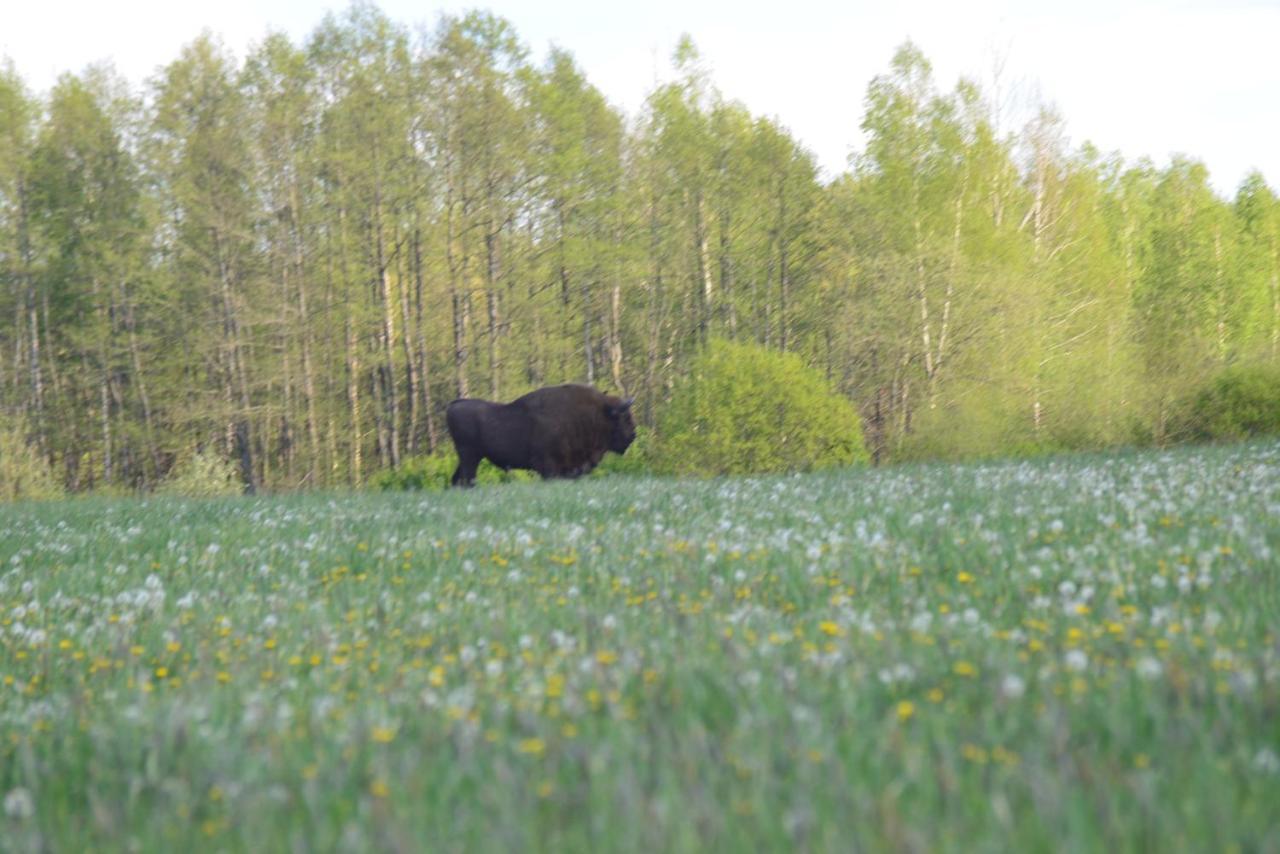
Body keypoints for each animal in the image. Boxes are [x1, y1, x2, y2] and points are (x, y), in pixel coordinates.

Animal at [445, 381, 634, 486]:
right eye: (625, 417)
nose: (633, 435)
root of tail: (453, 405)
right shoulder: (549, 468)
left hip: (469, 458)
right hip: (469, 457)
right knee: (467, 479)